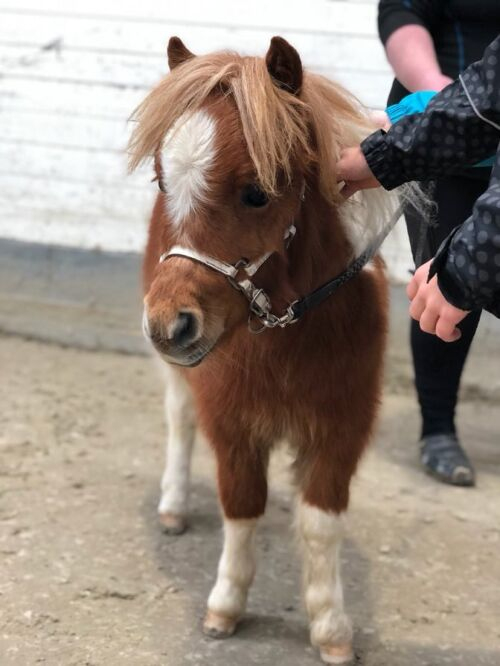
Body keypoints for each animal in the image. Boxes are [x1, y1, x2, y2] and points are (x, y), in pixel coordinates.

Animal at [130, 37, 394, 664]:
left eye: (256, 192)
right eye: (161, 182)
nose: (168, 326)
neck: (288, 333)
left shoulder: (341, 428)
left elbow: (322, 523)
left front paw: (331, 628)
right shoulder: (232, 424)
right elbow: (242, 506)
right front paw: (225, 607)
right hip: (180, 378)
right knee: (179, 422)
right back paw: (173, 504)